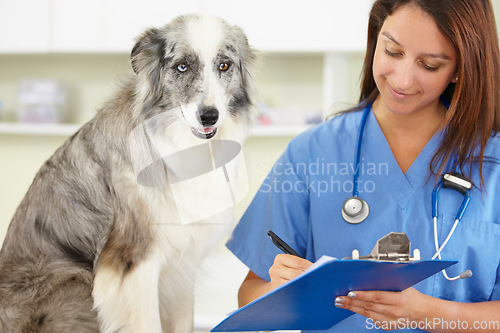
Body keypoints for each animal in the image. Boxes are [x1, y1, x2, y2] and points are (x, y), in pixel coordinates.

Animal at [0, 13, 258, 332]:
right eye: (181, 66)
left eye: (224, 65)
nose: (209, 116)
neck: (183, 145)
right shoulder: (134, 263)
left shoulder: (182, 263)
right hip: (74, 277)